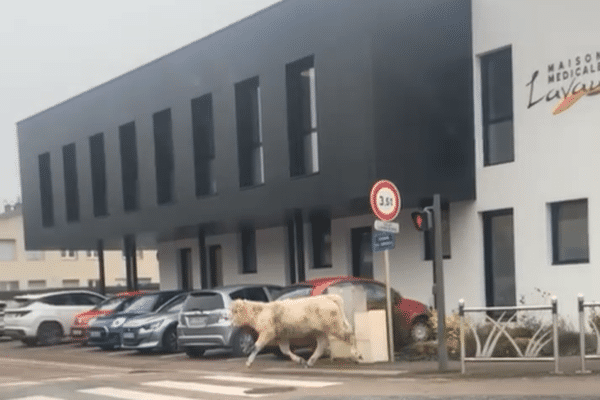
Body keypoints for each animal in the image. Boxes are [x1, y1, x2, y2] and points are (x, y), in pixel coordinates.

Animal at [230, 292, 360, 368]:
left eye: (235, 311)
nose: (230, 321)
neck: (261, 311)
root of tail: (329, 297)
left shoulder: (267, 333)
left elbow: (256, 346)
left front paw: (249, 362)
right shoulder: (282, 337)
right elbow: (285, 350)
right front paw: (299, 360)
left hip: (334, 327)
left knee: (350, 336)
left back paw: (357, 355)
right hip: (320, 331)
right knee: (321, 345)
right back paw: (309, 362)